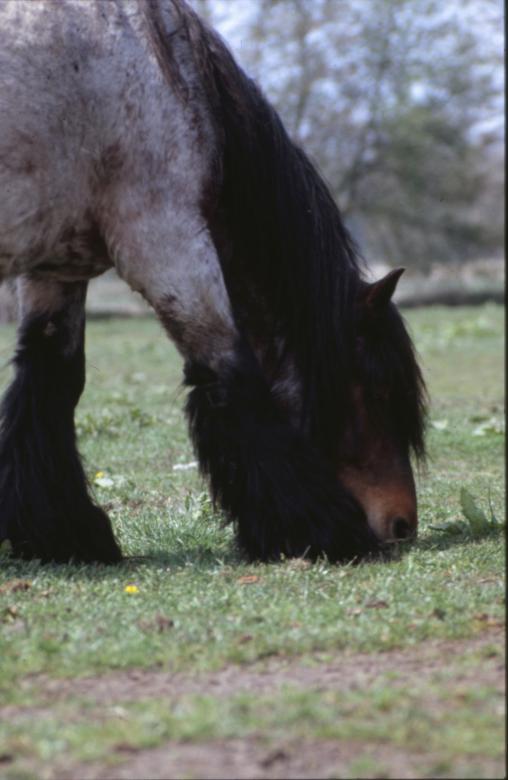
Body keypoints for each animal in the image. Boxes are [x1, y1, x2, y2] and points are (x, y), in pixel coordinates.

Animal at [0, 0, 426, 565]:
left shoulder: (56, 269)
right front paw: (318, 529)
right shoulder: (167, 245)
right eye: (376, 389)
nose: (403, 524)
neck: (166, 75)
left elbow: (50, 380)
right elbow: (232, 373)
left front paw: (61, 533)